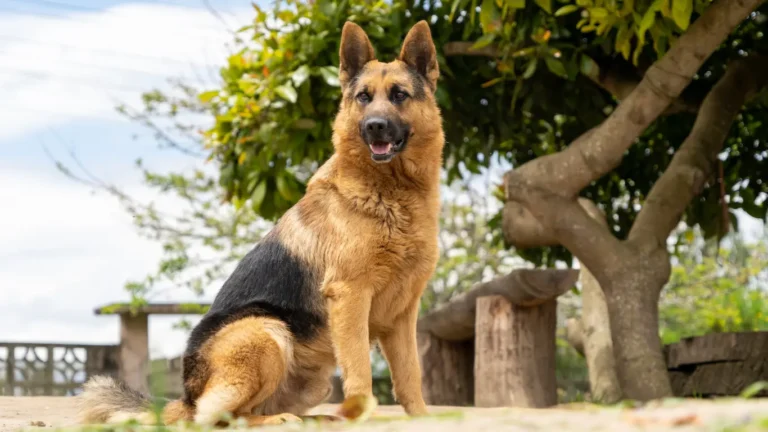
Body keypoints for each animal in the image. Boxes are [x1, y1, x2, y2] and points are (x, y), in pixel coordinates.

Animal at [76, 19, 444, 426]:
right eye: (363, 97)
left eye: (399, 95)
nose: (375, 126)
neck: (390, 193)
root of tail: (185, 396)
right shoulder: (350, 297)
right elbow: (360, 368)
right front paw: (362, 416)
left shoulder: (403, 314)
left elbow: (410, 374)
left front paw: (422, 416)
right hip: (266, 330)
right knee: (217, 416)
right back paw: (278, 419)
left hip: (311, 378)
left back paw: (313, 418)